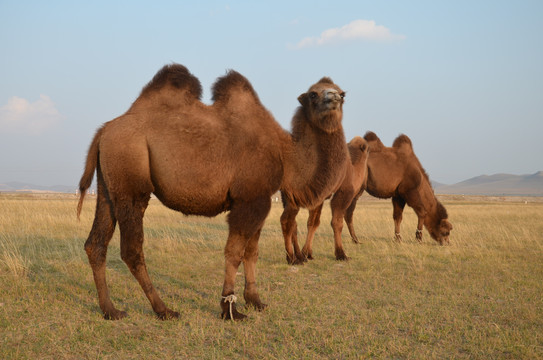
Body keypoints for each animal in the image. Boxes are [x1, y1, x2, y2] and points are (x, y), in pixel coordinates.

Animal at [76, 63, 348, 322]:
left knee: (96, 243)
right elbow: (234, 252)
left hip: (108, 186)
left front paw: (255, 300)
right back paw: (164, 310)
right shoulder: (248, 200)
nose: (334, 98)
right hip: (130, 180)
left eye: (342, 93)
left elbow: (252, 252)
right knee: (131, 249)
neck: (285, 153)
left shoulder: (261, 200)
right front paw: (230, 308)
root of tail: (103, 131)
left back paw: (110, 310)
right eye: (313, 94)